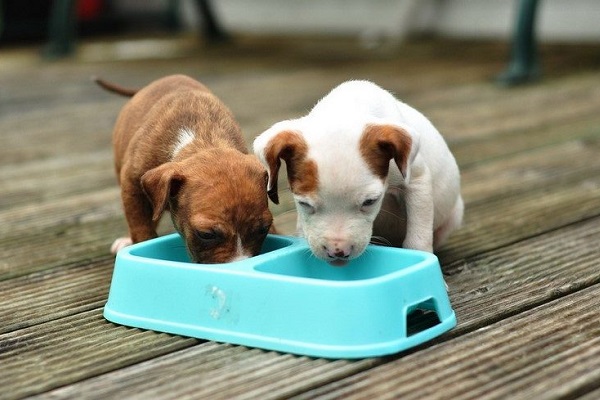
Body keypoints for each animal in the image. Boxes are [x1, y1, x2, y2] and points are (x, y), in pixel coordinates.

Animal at [97, 74, 274, 264]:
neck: (204, 139)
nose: (239, 264)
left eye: (264, 229)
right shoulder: (133, 186)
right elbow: (141, 225)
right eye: (206, 234)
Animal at [253, 79, 464, 266]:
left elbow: (418, 237)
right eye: (304, 204)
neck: (347, 109)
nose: (338, 252)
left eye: (370, 202)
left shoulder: (417, 182)